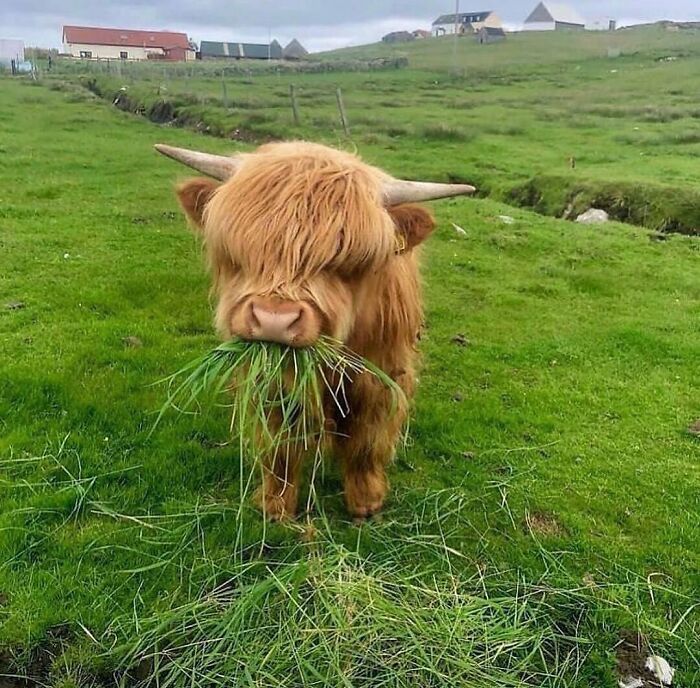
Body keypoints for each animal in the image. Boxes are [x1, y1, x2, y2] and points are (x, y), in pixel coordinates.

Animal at [156, 141, 474, 520]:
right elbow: (279, 442)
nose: (274, 319)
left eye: (346, 261)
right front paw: (275, 505)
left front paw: (366, 501)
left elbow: (368, 437)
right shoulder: (273, 380)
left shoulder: (381, 373)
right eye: (242, 252)